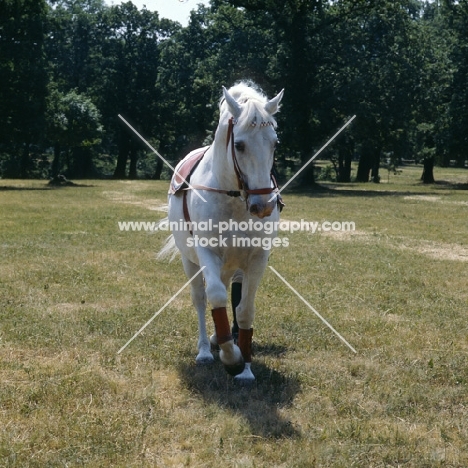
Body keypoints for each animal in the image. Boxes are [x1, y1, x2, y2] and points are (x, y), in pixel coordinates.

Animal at [161, 82, 284, 382]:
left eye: (275, 143)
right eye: (239, 145)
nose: (263, 205)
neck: (233, 200)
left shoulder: (257, 258)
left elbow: (244, 310)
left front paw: (246, 369)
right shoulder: (207, 253)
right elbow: (215, 297)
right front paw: (231, 358)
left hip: (231, 265)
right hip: (191, 261)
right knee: (200, 298)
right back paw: (207, 349)